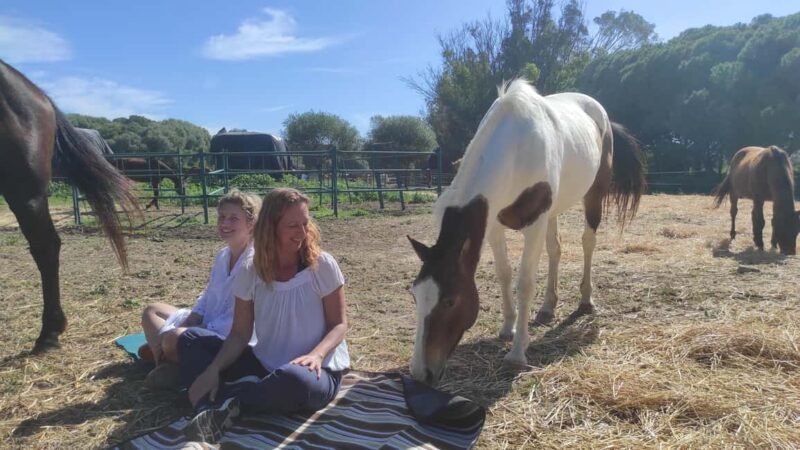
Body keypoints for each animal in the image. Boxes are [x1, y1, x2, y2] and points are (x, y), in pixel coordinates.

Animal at [406, 80, 646, 385]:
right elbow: (504, 274)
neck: (516, 150)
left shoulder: (534, 224)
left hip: (593, 195)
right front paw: (507, 327)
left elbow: (525, 282)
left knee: (587, 243)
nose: (420, 373)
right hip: (553, 211)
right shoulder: (494, 225)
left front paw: (518, 352)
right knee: (556, 249)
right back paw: (547, 307)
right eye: (415, 295)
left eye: (450, 300)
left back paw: (586, 300)